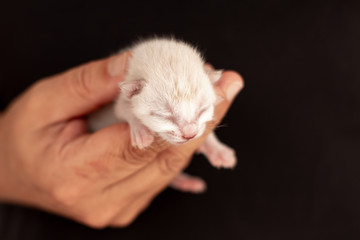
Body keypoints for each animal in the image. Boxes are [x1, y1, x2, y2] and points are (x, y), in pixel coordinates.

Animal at [88, 38, 236, 194]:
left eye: (202, 109)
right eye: (165, 115)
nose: (190, 134)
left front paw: (218, 150)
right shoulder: (117, 102)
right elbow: (124, 109)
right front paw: (140, 130)